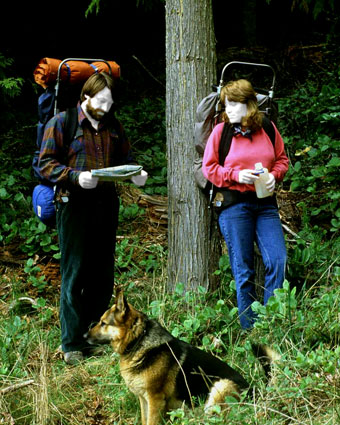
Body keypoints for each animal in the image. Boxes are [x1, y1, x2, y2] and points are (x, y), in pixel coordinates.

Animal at [85, 290, 276, 424]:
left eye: (103, 323)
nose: (84, 336)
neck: (138, 340)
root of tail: (255, 391)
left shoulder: (154, 400)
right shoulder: (144, 400)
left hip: (219, 389)